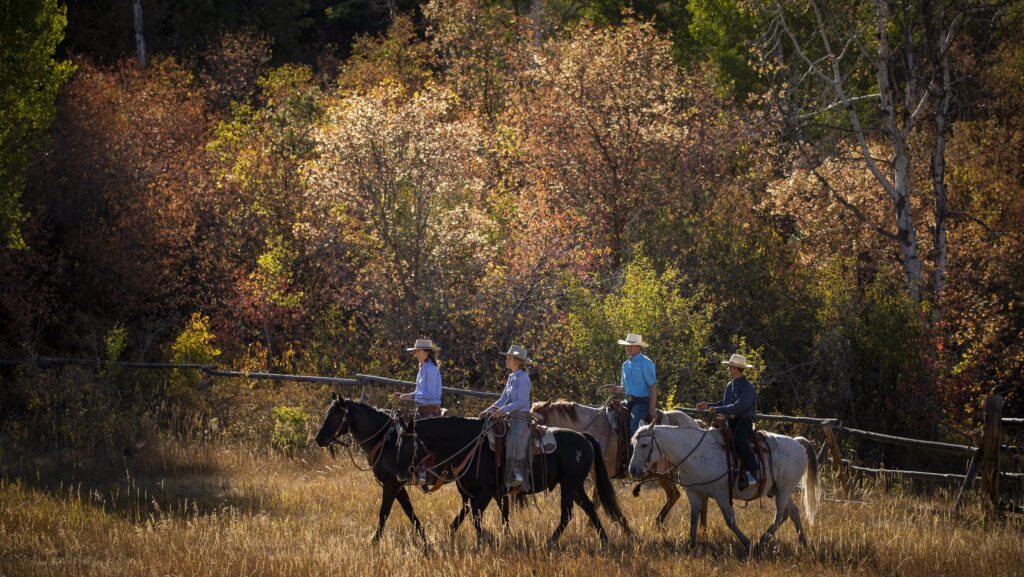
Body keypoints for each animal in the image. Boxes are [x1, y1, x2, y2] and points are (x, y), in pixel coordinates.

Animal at [399, 415, 632, 548]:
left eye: (407, 443)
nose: (402, 473)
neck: (472, 445)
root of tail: (584, 438)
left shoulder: (485, 492)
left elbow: (476, 517)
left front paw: (488, 539)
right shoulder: (477, 494)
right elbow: (469, 517)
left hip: (569, 485)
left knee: (567, 514)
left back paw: (551, 542)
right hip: (575, 486)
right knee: (590, 508)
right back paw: (603, 541)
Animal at [532, 400, 702, 524]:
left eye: (536, 422)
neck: (594, 428)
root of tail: (694, 423)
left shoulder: (600, 473)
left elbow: (598, 500)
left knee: (675, 494)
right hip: (664, 475)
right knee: (674, 495)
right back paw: (658, 523)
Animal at [628, 422, 818, 553]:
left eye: (644, 445)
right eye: (633, 444)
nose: (633, 470)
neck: (697, 453)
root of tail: (797, 442)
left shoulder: (721, 495)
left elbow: (730, 521)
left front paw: (747, 543)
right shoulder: (694, 493)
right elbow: (694, 519)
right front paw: (691, 545)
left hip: (784, 489)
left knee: (779, 516)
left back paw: (760, 543)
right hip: (780, 490)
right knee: (792, 512)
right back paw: (802, 543)